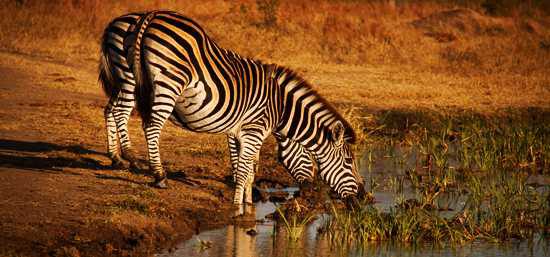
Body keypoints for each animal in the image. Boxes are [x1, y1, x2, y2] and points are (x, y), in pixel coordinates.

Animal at [126, 10, 364, 208]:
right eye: (349, 162)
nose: (363, 196)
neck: (280, 107)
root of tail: (153, 15)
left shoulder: (237, 132)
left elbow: (248, 168)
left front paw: (248, 202)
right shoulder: (254, 131)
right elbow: (243, 170)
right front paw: (238, 207)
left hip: (129, 73)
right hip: (169, 81)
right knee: (151, 127)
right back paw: (159, 176)